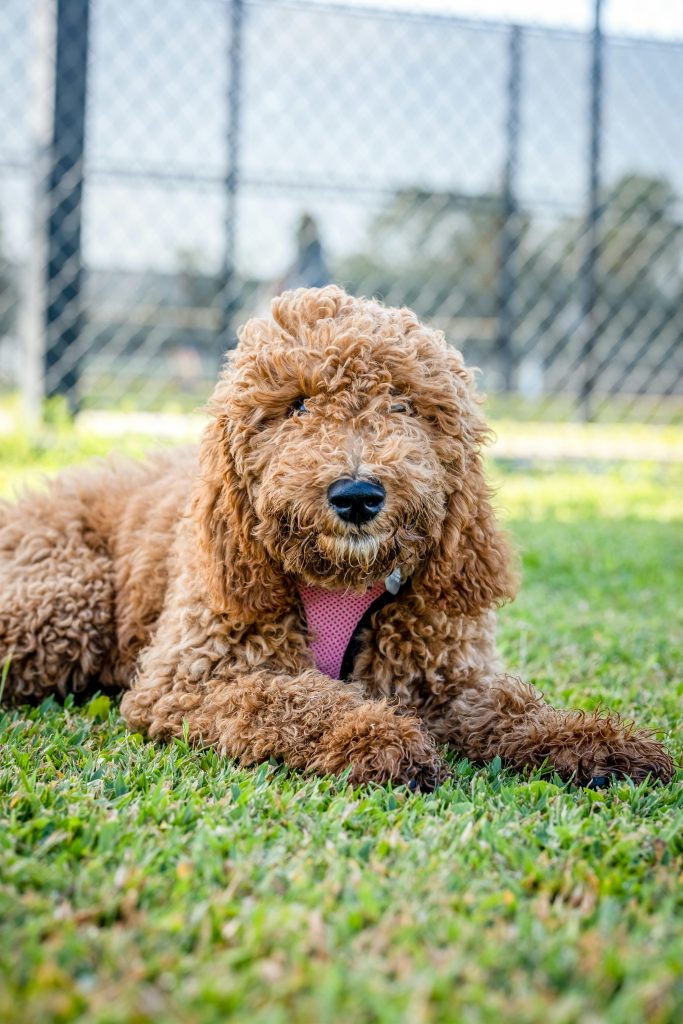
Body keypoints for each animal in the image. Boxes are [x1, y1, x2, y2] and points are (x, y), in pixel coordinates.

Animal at [0, 288, 671, 790]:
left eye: (403, 405)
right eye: (297, 405)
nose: (357, 495)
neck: (342, 579)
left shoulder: (446, 678)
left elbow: (511, 709)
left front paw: (596, 741)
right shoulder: (188, 680)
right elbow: (287, 700)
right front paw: (376, 736)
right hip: (67, 601)